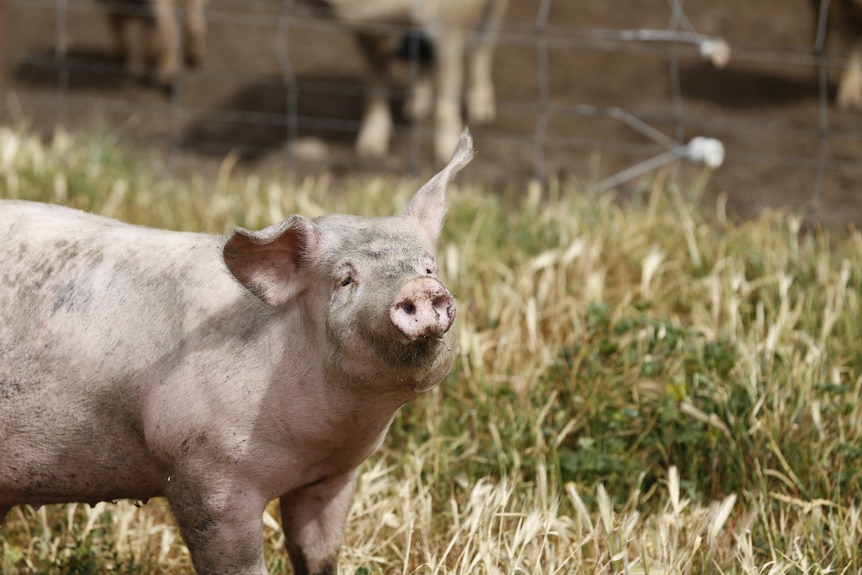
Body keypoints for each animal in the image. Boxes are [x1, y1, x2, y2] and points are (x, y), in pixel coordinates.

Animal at [0, 130, 472, 575]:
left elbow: (318, 553)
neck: (329, 433)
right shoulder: (207, 475)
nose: (419, 288)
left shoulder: (334, 476)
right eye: (345, 279)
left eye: (428, 266)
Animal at [320, 0, 510, 164]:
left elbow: (445, 101)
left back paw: (482, 115)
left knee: (482, 51)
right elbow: (375, 89)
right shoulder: (367, 41)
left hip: (494, 13)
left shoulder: (448, 36)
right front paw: (369, 151)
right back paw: (414, 110)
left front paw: (445, 157)